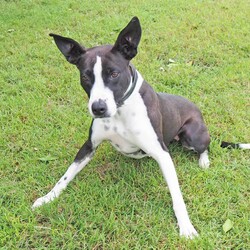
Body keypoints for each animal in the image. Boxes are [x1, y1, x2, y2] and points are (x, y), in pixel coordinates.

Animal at [33, 16, 250, 237]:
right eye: (85, 77)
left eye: (114, 74)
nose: (98, 108)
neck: (120, 110)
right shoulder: (89, 146)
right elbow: (66, 176)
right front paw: (47, 198)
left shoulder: (161, 153)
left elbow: (177, 195)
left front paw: (186, 226)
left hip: (193, 135)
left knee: (206, 145)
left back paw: (204, 161)